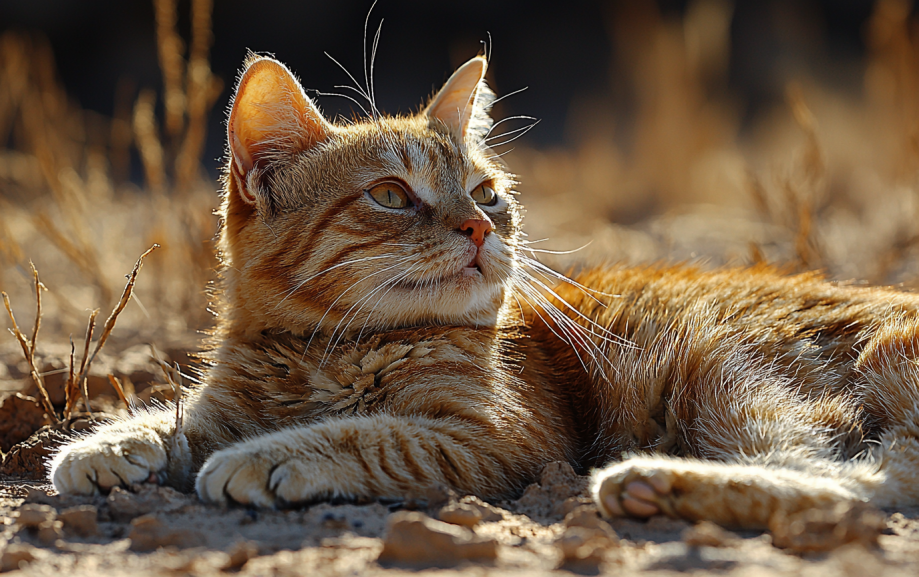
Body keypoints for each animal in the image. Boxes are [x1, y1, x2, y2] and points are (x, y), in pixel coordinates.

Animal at [52, 55, 919, 532]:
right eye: (392, 195)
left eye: (485, 191)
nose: (477, 226)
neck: (324, 351)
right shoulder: (222, 402)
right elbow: (174, 419)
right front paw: (104, 446)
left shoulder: (499, 437)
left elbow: (372, 433)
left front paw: (267, 454)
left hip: (735, 380)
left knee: (862, 492)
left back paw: (648, 478)